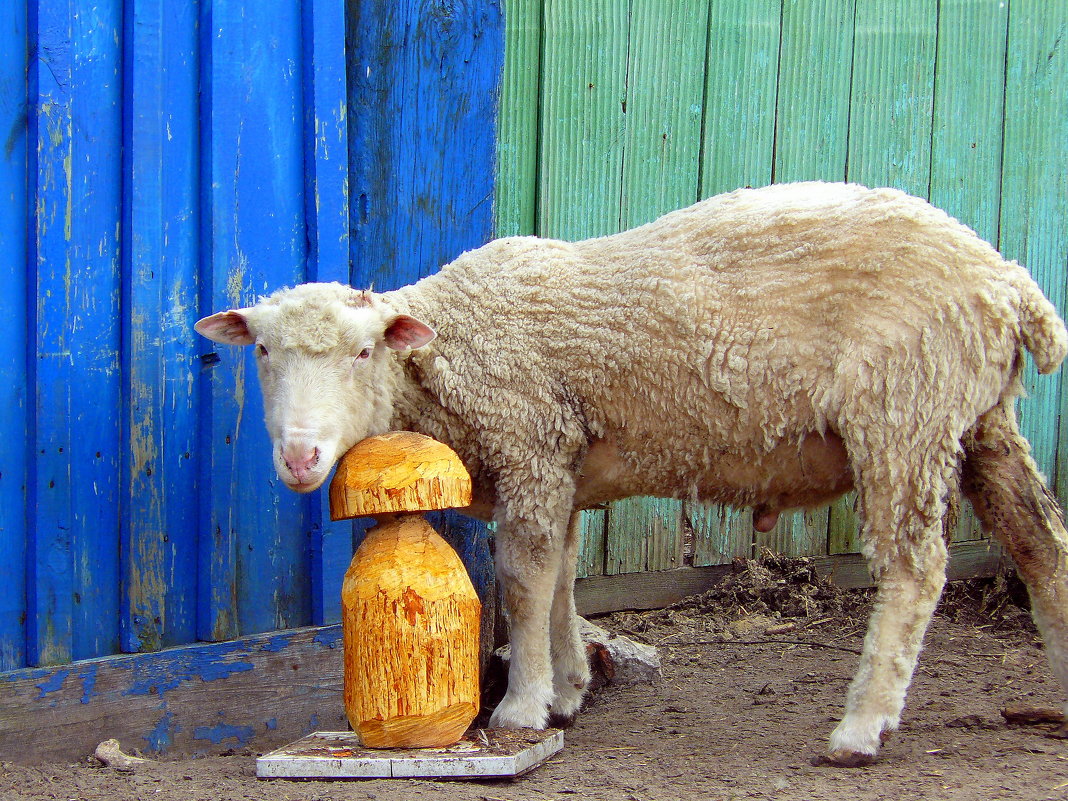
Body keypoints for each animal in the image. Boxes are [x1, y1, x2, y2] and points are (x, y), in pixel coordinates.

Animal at [196, 181, 1068, 764]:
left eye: (362, 350)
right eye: (262, 350)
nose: (300, 457)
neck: (448, 350)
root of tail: (1006, 280)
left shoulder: (529, 441)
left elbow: (524, 578)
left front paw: (523, 706)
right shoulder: (561, 463)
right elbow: (562, 576)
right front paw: (570, 685)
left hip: (903, 415)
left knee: (917, 568)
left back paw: (861, 727)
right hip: (976, 418)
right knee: (1041, 543)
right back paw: (1056, 690)